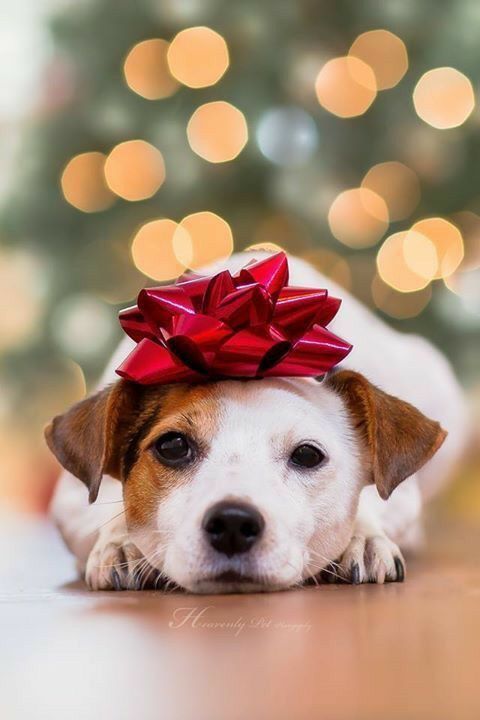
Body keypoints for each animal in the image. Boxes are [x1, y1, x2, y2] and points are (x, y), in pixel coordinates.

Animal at [47, 252, 466, 592]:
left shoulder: (402, 495)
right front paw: (122, 543)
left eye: (308, 455)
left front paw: (363, 538)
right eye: (173, 446)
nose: (233, 523)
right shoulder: (71, 499)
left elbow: (371, 503)